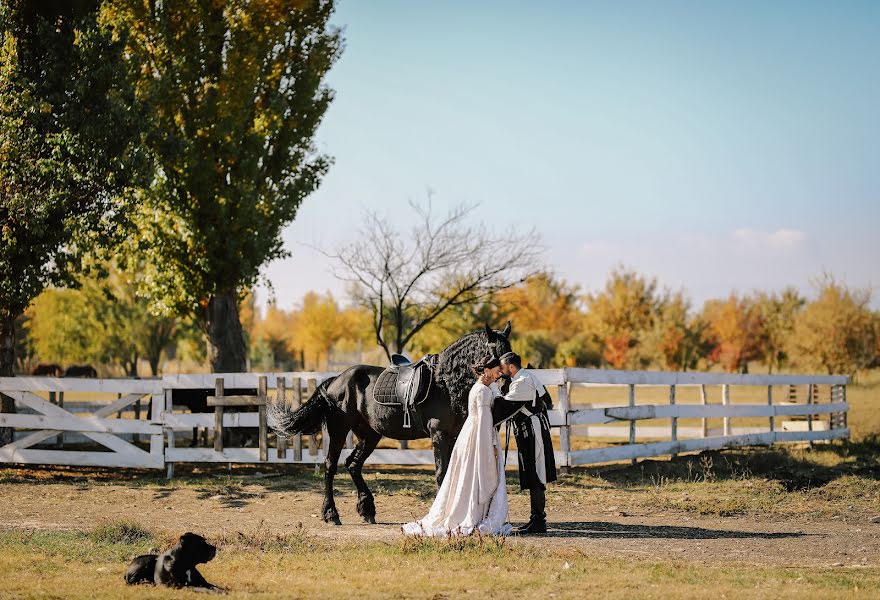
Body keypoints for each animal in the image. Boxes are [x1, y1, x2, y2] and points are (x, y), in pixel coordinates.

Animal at [270, 324, 516, 524]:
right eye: (495, 351)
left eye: (510, 348)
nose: (506, 384)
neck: (445, 383)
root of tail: (334, 381)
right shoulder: (439, 434)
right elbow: (442, 473)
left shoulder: (455, 435)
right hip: (339, 431)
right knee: (330, 465)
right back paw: (331, 514)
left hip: (370, 435)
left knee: (353, 464)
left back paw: (367, 510)